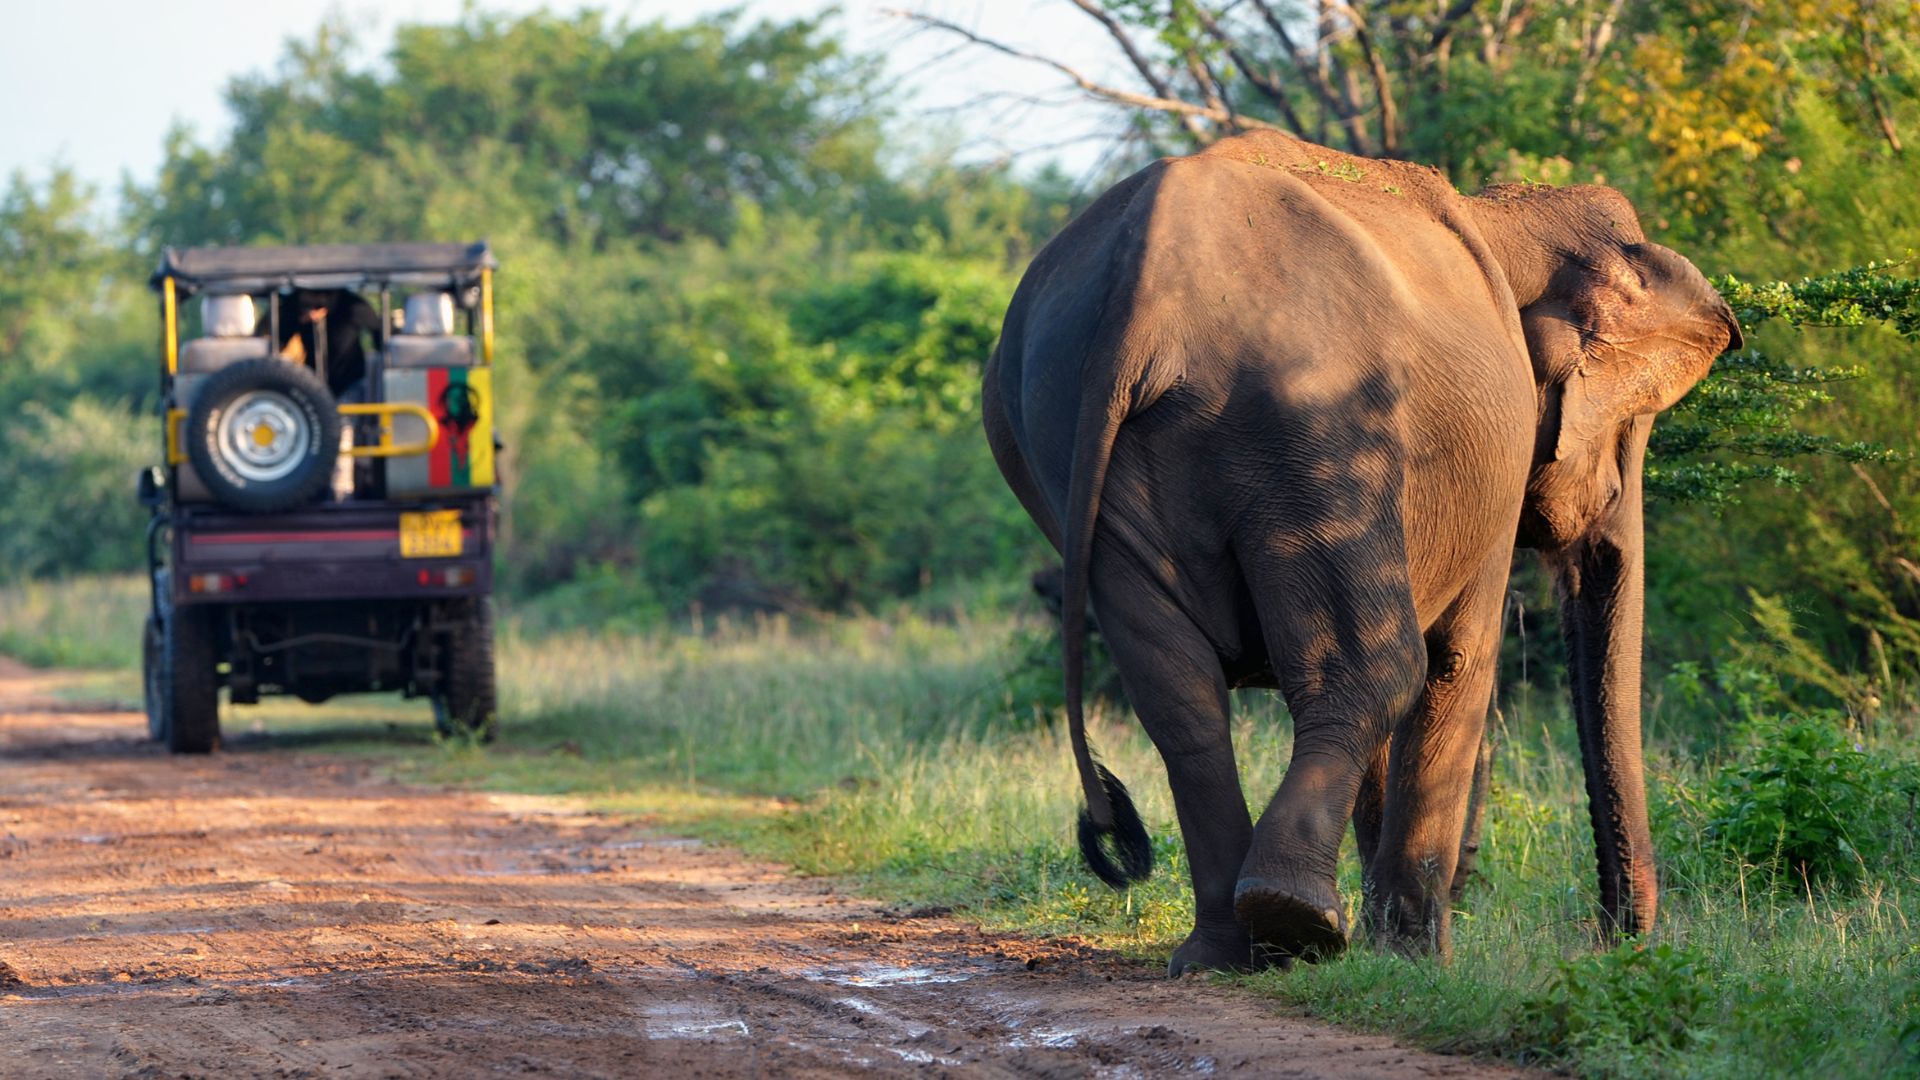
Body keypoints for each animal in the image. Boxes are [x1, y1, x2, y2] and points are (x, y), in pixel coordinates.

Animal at [983, 130, 1751, 972]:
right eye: (1630, 426)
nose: (1610, 939)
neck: (1507, 214)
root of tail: (1140, 284)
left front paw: (1391, 954)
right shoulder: (1495, 457)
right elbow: (1457, 660)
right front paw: (1417, 963)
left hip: (1064, 439)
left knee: (1180, 696)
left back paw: (1228, 953)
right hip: (1310, 421)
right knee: (1378, 668)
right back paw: (1295, 921)